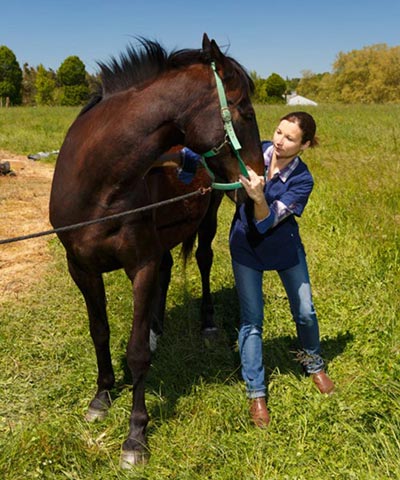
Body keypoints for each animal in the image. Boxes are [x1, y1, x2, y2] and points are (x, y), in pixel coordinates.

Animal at [48, 34, 264, 468]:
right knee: (167, 267)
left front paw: (135, 437)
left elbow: (135, 354)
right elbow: (99, 332)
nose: (259, 176)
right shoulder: (80, 268)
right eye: (245, 111)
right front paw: (101, 397)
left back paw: (205, 323)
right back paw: (157, 326)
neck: (97, 189)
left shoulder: (140, 266)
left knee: (202, 260)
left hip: (208, 219)